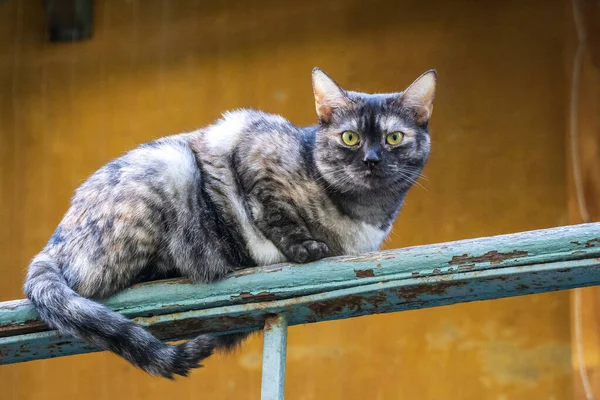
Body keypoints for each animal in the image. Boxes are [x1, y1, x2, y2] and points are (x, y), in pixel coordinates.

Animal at [24, 68, 436, 378]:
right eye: (349, 137)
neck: (364, 213)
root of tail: (52, 245)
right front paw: (305, 247)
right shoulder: (253, 148)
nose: (371, 160)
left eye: (393, 137)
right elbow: (273, 212)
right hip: (172, 165)